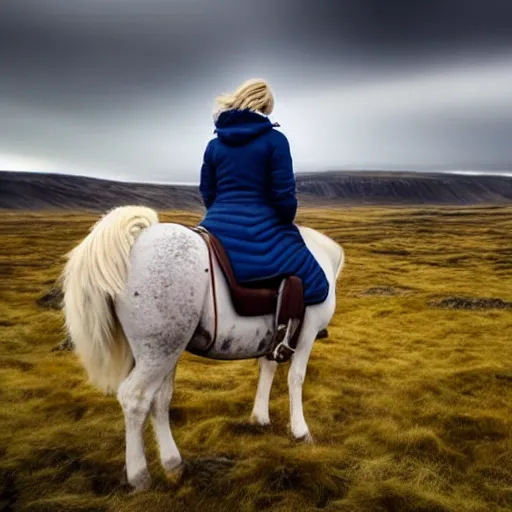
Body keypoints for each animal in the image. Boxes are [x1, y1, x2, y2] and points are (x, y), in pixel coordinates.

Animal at [62, 205, 346, 492]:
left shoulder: (276, 337)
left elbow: (267, 369)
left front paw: (260, 417)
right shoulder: (308, 331)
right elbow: (295, 377)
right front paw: (300, 431)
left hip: (167, 351)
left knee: (160, 399)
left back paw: (173, 464)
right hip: (159, 352)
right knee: (136, 398)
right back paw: (139, 475)